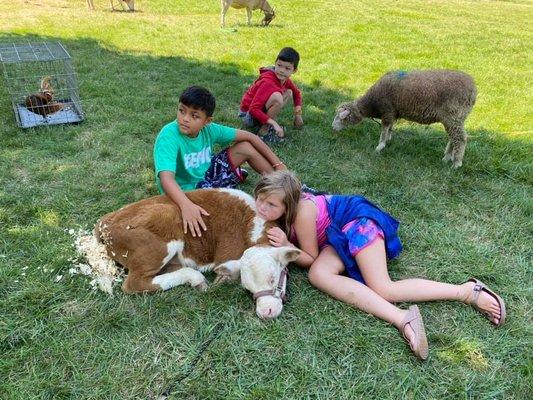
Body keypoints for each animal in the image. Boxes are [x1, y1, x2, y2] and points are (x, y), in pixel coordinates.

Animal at [95, 188, 300, 318]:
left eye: (273, 278)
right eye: (248, 288)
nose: (265, 312)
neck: (251, 223)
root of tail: (106, 221)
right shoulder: (227, 253)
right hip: (160, 237)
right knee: (134, 283)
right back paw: (196, 278)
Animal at [332, 69, 478, 166]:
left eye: (341, 118)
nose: (332, 128)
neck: (372, 103)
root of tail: (473, 89)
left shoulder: (387, 110)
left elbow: (384, 129)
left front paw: (380, 146)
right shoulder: (393, 113)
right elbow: (390, 128)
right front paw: (388, 139)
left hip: (454, 115)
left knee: (461, 138)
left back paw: (456, 163)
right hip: (454, 119)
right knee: (454, 138)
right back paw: (447, 157)